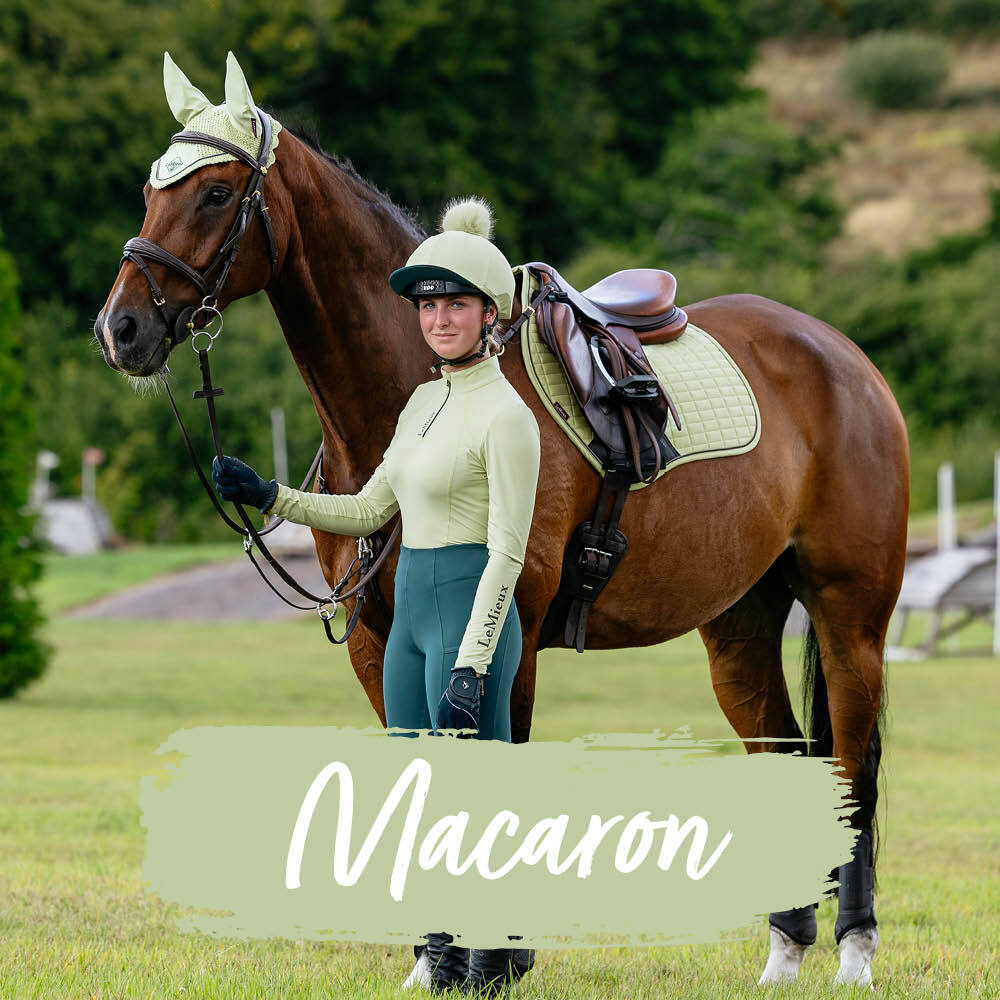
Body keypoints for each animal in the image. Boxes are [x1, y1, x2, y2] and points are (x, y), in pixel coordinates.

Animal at [94, 56, 908, 989]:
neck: (420, 399)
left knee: (851, 766)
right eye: (150, 190)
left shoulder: (500, 635)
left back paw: (854, 952)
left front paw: (494, 961)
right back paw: (784, 951)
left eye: (218, 192)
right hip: (739, 628)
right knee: (787, 753)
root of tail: (840, 354)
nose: (119, 328)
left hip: (851, 621)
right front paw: (434, 962)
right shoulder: (379, 643)